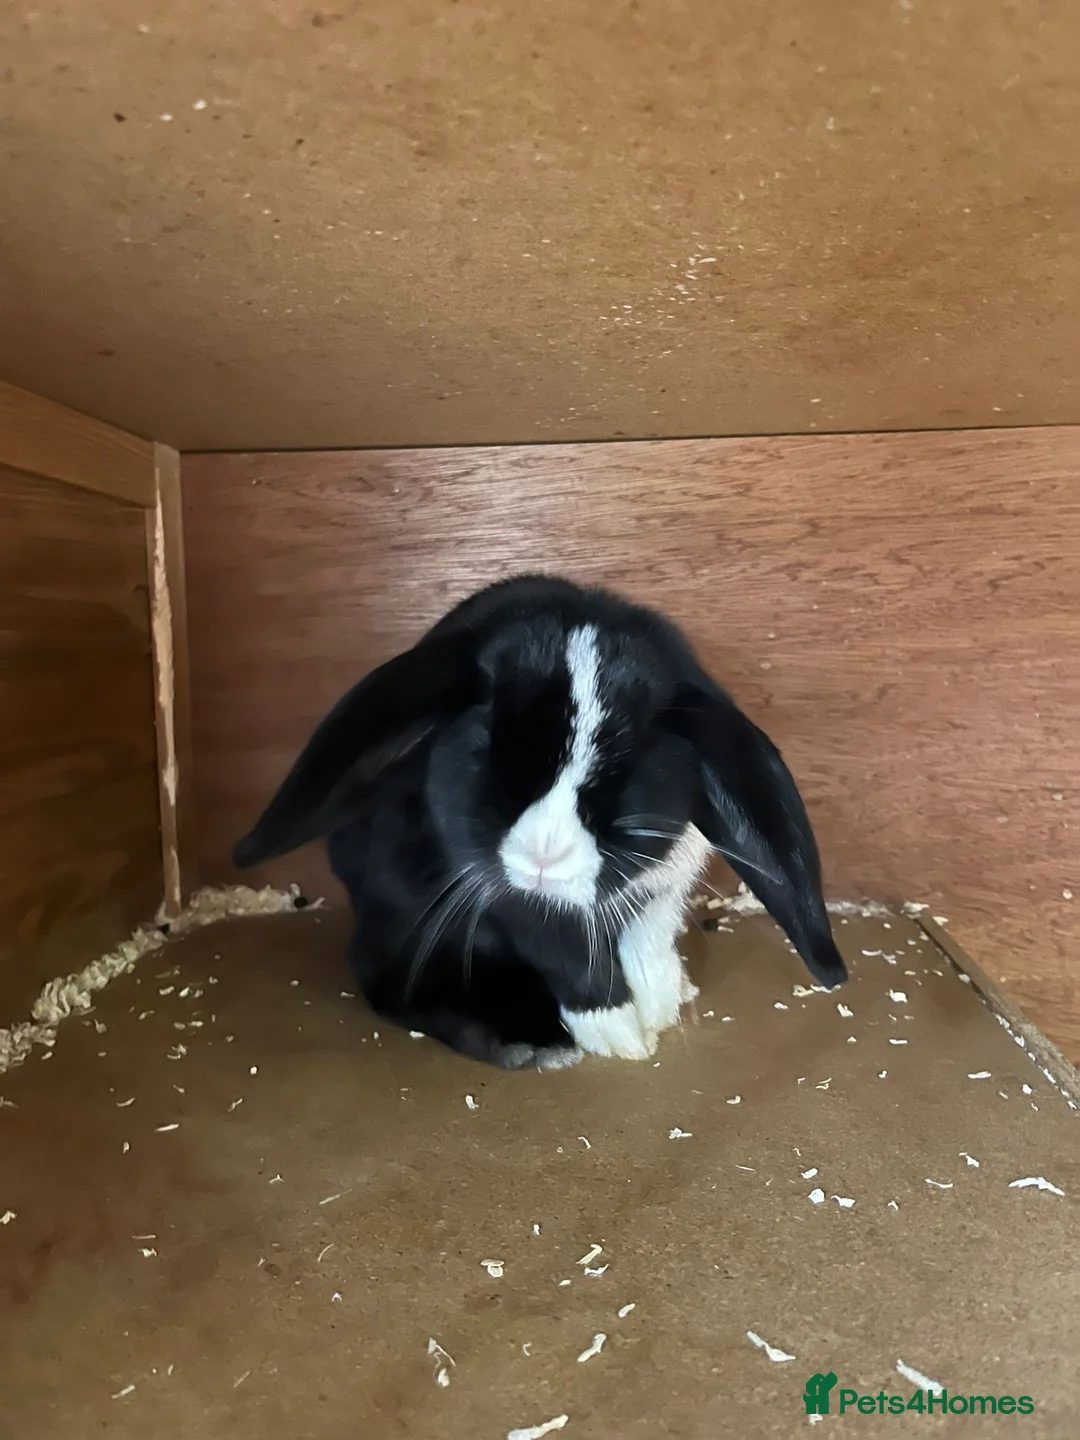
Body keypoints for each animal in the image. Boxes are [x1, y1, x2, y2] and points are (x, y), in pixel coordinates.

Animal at [232, 574, 847, 1070]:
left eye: (630, 761)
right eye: (488, 744)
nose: (542, 857)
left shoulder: (663, 890)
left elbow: (648, 941)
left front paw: (662, 1005)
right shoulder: (515, 904)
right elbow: (573, 960)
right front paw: (620, 1036)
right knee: (385, 974)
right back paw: (527, 1043)